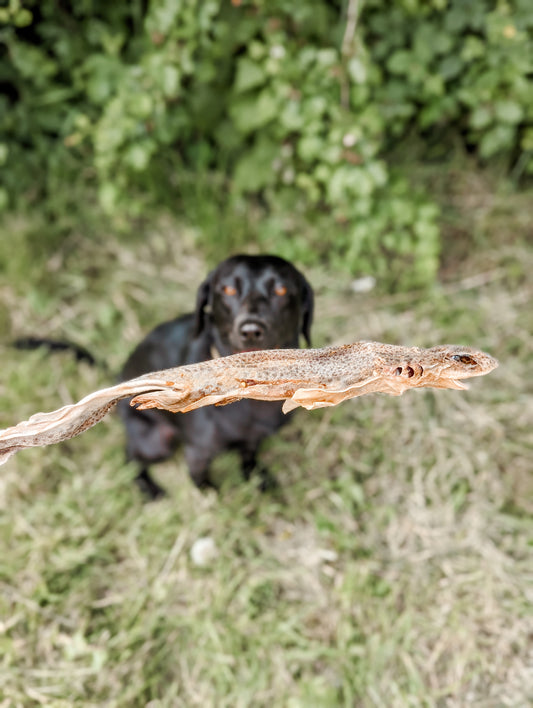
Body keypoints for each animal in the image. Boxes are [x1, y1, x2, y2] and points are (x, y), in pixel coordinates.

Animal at [116, 256, 312, 498]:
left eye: (281, 290)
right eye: (228, 289)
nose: (251, 330)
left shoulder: (253, 438)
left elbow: (249, 456)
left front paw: (257, 478)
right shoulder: (198, 453)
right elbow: (203, 483)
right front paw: (215, 498)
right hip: (157, 442)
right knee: (130, 456)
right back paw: (150, 489)